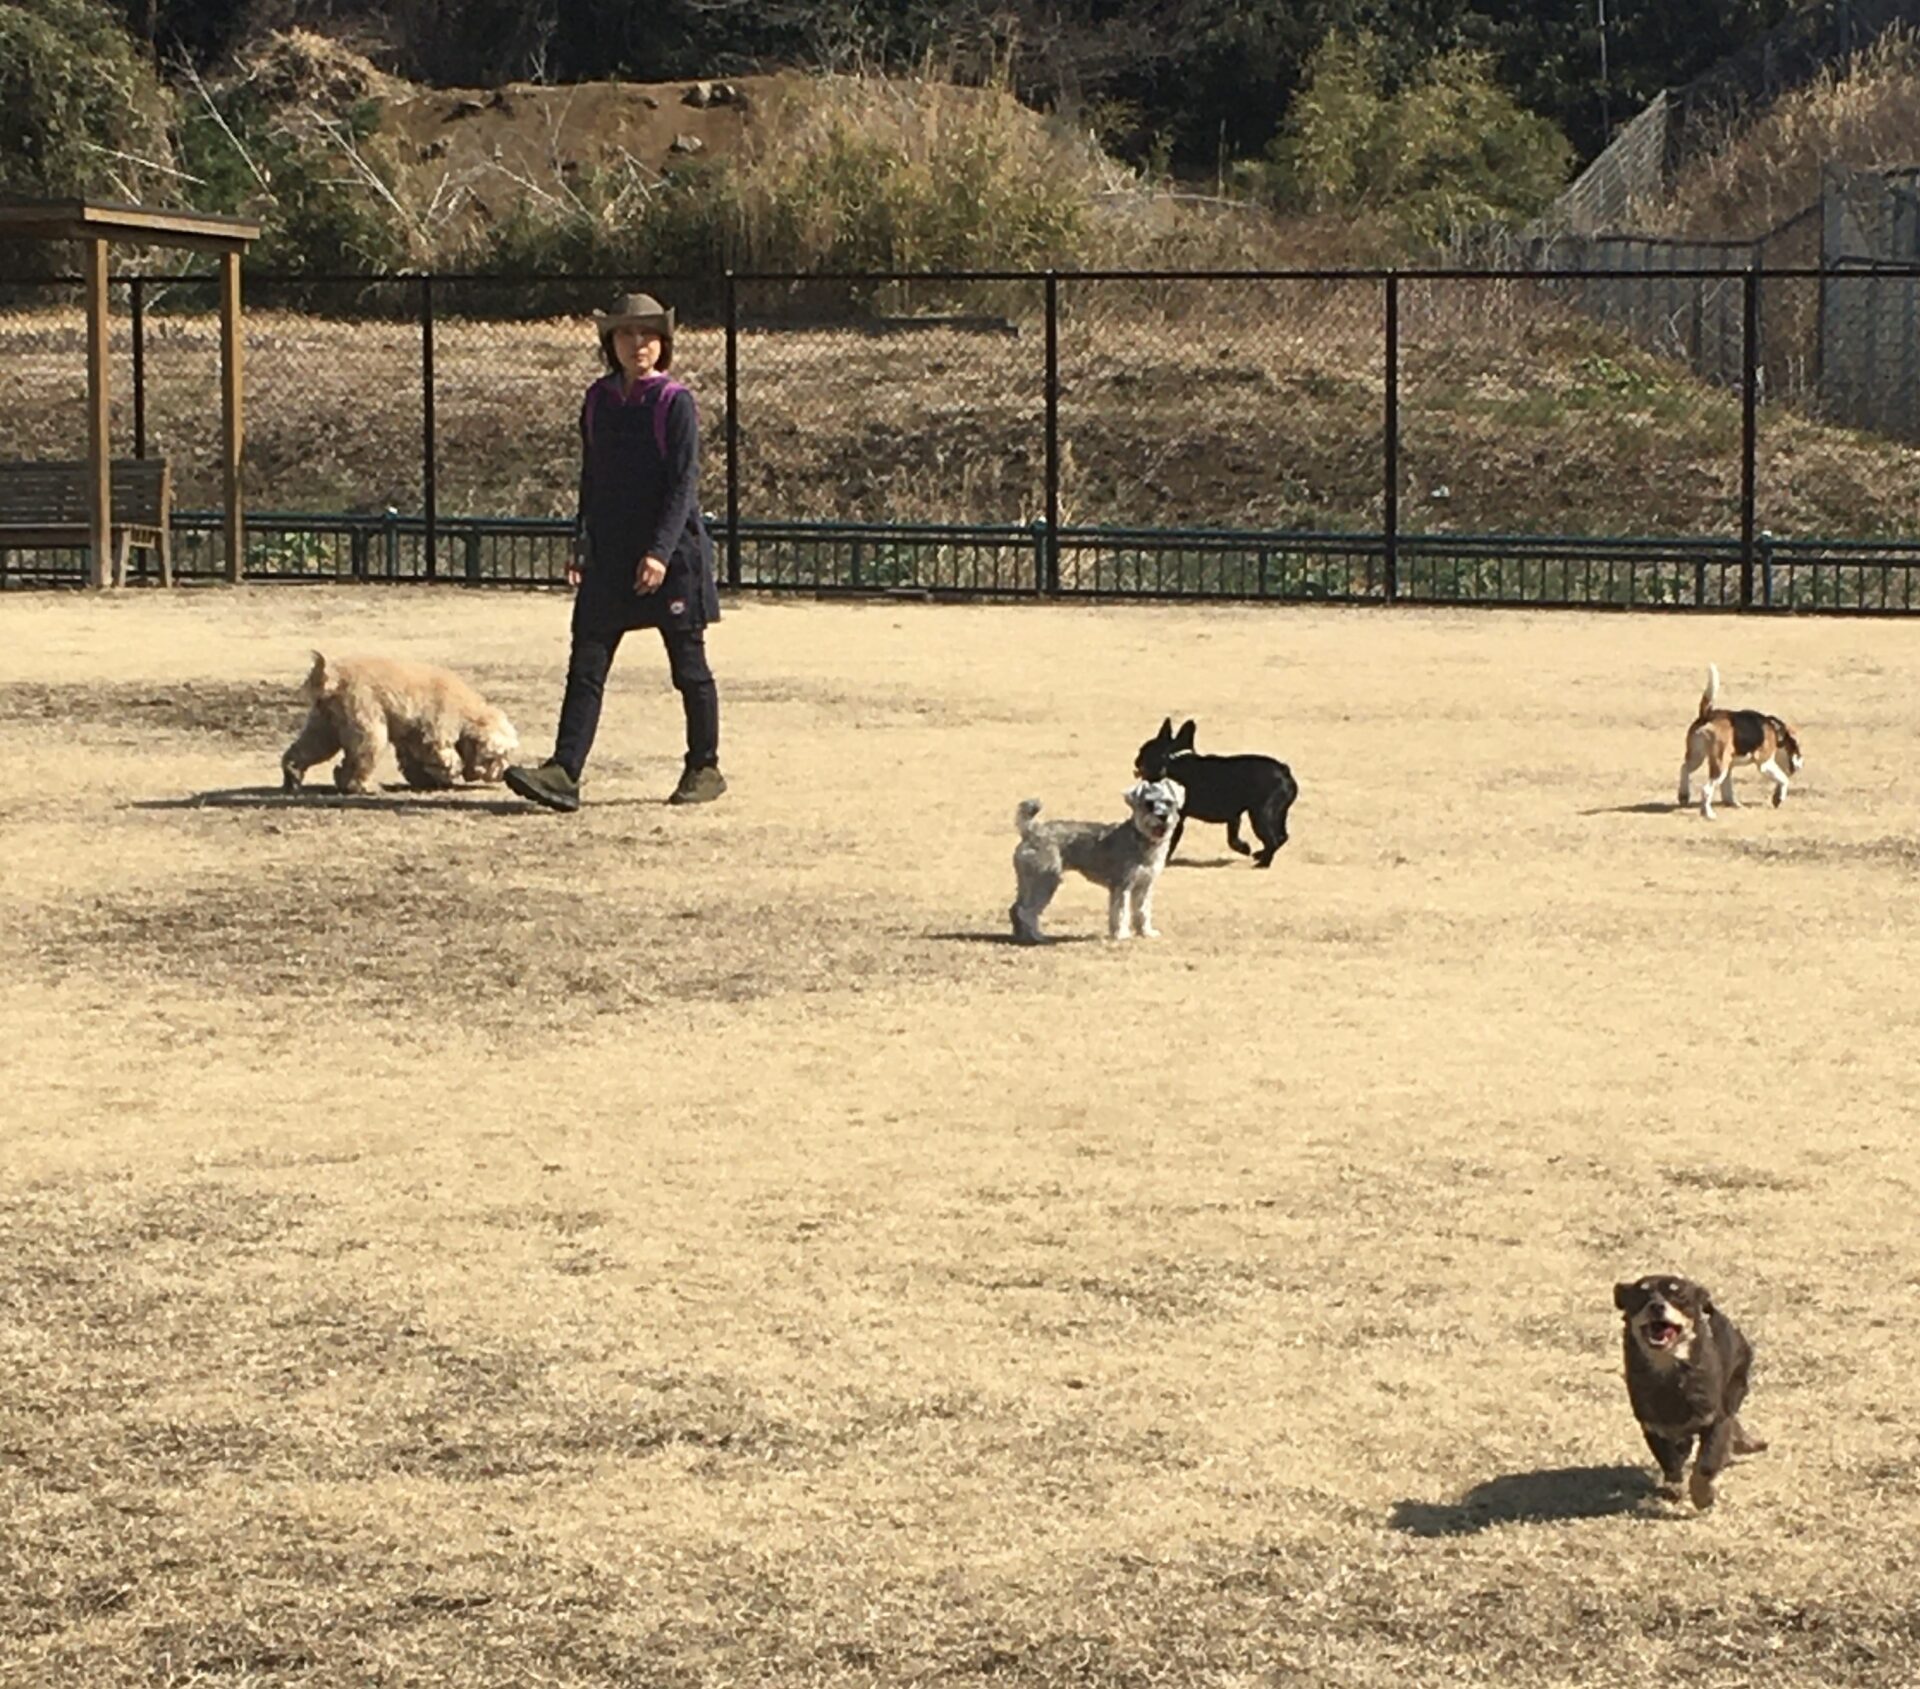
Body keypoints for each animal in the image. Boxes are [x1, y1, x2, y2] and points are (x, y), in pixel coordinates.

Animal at [281, 652, 518, 795]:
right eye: (496, 757)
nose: (502, 773)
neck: (466, 713)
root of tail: (331, 679)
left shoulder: (412, 738)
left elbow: (413, 762)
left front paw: (425, 780)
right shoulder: (434, 734)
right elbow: (444, 759)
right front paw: (447, 775)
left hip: (323, 729)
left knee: (304, 752)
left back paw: (293, 778)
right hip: (369, 729)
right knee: (359, 761)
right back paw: (363, 786)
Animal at [1009, 778, 1185, 944]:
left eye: (1169, 802)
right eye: (1149, 804)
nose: (1163, 816)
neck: (1142, 838)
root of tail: (1032, 830)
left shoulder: (1144, 885)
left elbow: (1143, 910)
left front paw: (1146, 932)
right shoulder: (1122, 885)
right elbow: (1121, 911)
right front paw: (1122, 934)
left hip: (1029, 882)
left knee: (1016, 908)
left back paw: (1021, 935)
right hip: (1045, 882)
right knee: (1026, 911)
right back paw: (1036, 936)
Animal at [1134, 718, 1297, 867]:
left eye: (1143, 751)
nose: (1136, 760)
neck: (1171, 759)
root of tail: (1284, 771)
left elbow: (1172, 840)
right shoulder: (1234, 816)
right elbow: (1232, 838)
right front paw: (1244, 848)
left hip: (1261, 815)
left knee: (1272, 839)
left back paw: (1263, 863)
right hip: (1277, 815)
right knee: (1282, 836)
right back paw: (1259, 854)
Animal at [1614, 1274, 1767, 1510]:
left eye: (1679, 1295)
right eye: (1641, 1294)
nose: (1657, 1306)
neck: (1669, 1374)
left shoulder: (1717, 1421)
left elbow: (1706, 1463)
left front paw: (1702, 1495)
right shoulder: (1653, 1427)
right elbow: (1670, 1463)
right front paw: (1674, 1487)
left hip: (1735, 1387)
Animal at [1678, 666, 1803, 819]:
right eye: (1797, 747)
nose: (1801, 765)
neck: (1775, 729)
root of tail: (1707, 715)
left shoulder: (1730, 766)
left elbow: (1727, 789)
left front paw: (1732, 803)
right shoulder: (1765, 764)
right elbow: (1784, 779)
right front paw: (1779, 798)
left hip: (1698, 757)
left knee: (1684, 768)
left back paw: (1684, 795)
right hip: (1720, 765)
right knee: (1706, 789)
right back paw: (1708, 814)